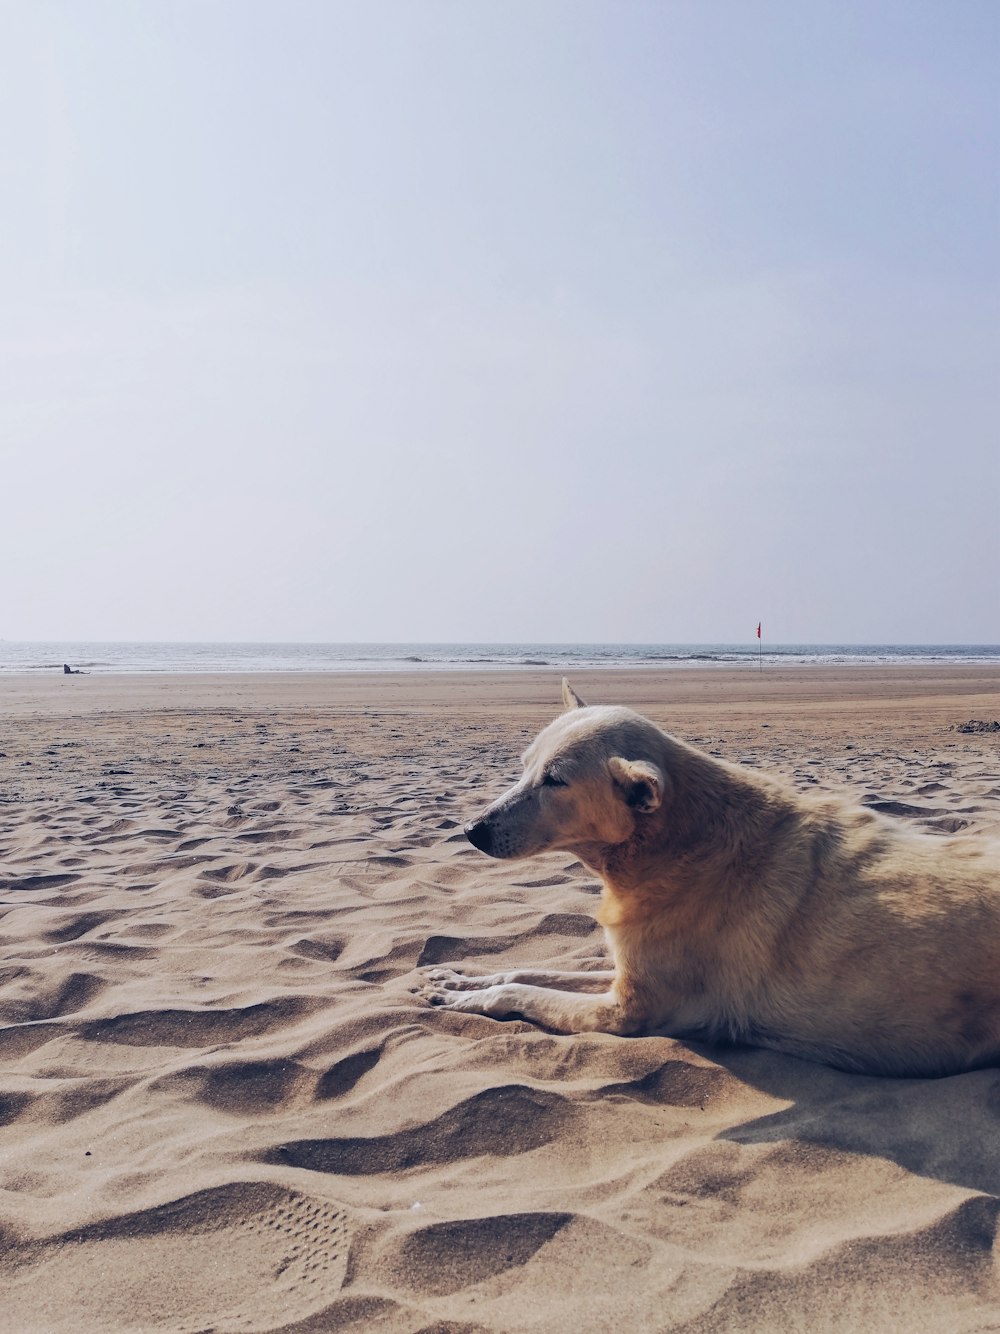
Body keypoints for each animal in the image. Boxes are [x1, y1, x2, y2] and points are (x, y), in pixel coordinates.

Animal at [424, 683, 1000, 1077]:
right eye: (525, 766)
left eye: (555, 780)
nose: (472, 830)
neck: (671, 843)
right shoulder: (626, 975)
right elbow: (525, 969)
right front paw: (462, 980)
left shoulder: (627, 1011)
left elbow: (524, 989)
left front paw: (470, 1000)